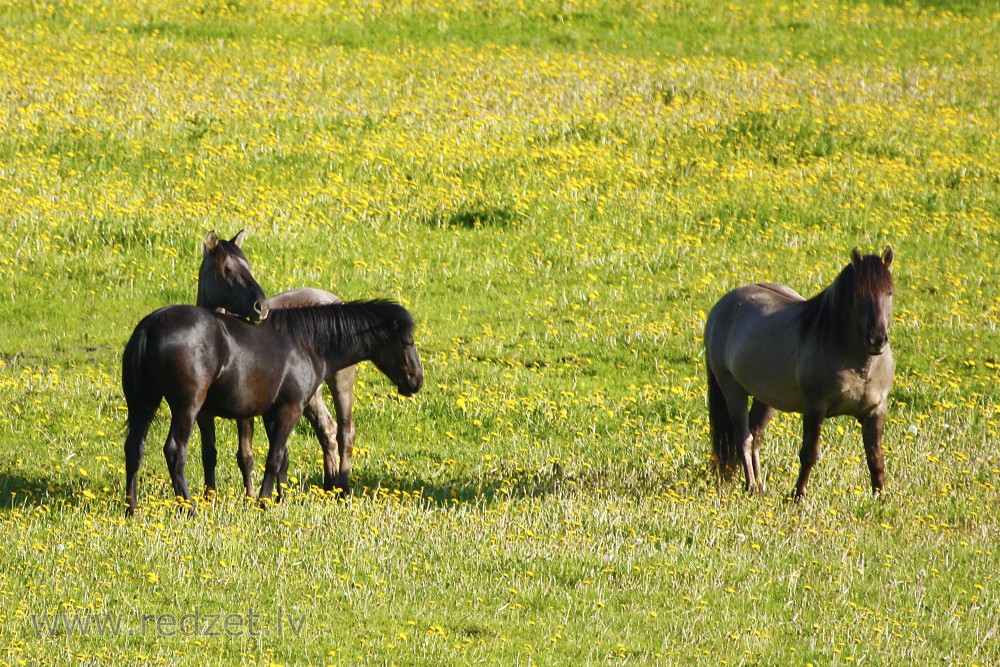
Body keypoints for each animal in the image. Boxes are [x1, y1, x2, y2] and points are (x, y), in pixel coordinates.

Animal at [123, 302, 424, 516]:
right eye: (407, 343)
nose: (417, 380)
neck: (305, 344)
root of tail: (150, 326)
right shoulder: (291, 409)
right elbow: (275, 457)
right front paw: (264, 502)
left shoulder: (271, 412)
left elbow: (283, 460)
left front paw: (282, 498)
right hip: (187, 408)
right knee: (175, 452)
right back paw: (189, 509)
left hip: (142, 403)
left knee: (134, 449)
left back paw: (132, 509)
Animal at [195, 234, 360, 496]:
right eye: (227, 269)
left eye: (248, 266)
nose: (260, 306)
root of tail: (332, 299)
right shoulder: (202, 413)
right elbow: (208, 453)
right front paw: (209, 497)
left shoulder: (246, 411)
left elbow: (246, 455)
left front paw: (251, 496)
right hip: (311, 396)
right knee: (327, 429)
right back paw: (329, 486)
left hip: (341, 382)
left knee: (345, 431)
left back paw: (341, 488)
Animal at [704, 248, 900, 498]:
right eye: (858, 294)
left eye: (889, 292)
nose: (876, 339)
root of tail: (722, 305)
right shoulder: (815, 407)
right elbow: (809, 454)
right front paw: (798, 495)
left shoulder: (876, 410)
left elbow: (875, 458)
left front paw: (880, 497)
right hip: (732, 389)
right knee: (744, 438)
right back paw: (752, 486)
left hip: (766, 397)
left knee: (755, 435)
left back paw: (761, 485)